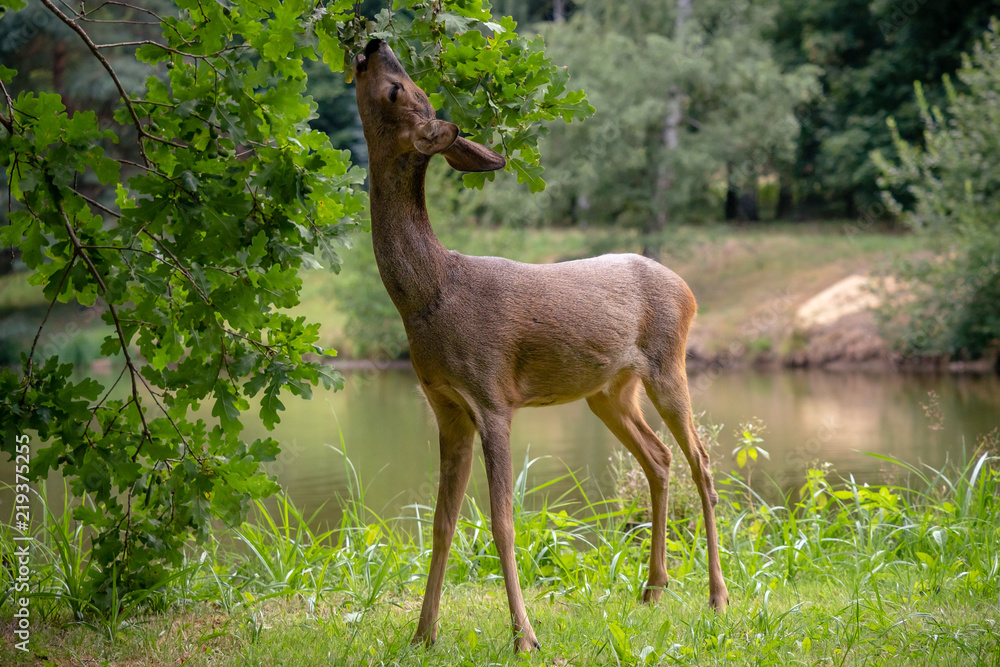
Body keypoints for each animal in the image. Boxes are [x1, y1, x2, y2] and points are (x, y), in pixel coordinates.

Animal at [352, 38, 729, 652]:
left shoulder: (492, 396)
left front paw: (523, 635)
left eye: (397, 89)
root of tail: (689, 288)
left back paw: (717, 596)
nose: (373, 43)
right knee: (659, 456)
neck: (430, 294)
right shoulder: (445, 406)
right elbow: (441, 522)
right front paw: (423, 633)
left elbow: (502, 519)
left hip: (669, 363)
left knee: (700, 460)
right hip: (609, 390)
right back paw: (653, 588)